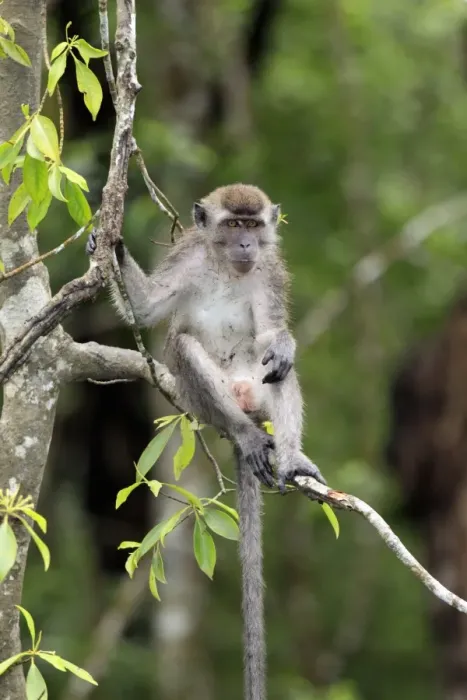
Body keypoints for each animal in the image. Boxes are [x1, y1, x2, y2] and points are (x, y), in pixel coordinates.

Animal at [86, 183, 326, 700]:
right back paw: (246, 437)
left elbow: (274, 336)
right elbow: (148, 308)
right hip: (206, 396)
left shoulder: (270, 270)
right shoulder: (188, 256)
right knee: (183, 346)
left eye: (253, 226)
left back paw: (289, 457)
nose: (246, 245)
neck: (225, 267)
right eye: (233, 226)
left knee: (275, 367)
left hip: (253, 385)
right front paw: (106, 243)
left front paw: (284, 344)